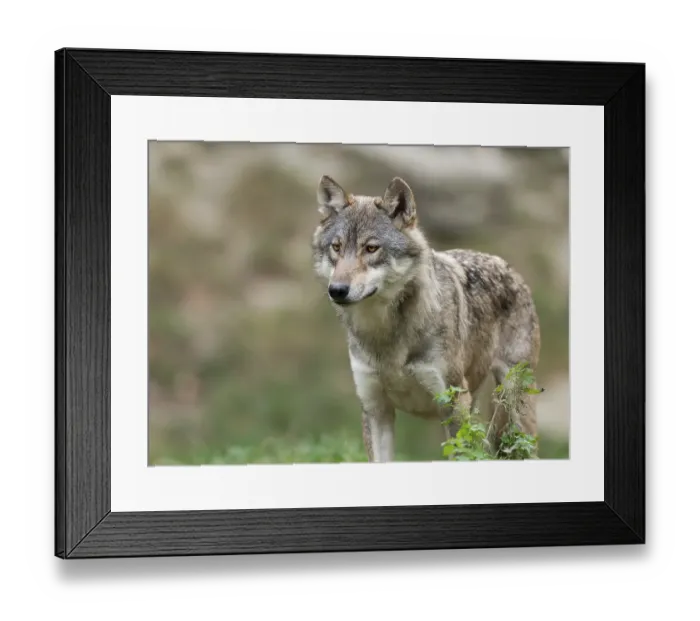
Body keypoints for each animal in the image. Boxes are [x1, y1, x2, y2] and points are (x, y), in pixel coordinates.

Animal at [311, 175, 541, 462]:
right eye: (337, 247)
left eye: (371, 248)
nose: (337, 290)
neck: (386, 338)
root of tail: (511, 269)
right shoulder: (375, 409)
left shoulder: (453, 405)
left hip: (512, 408)